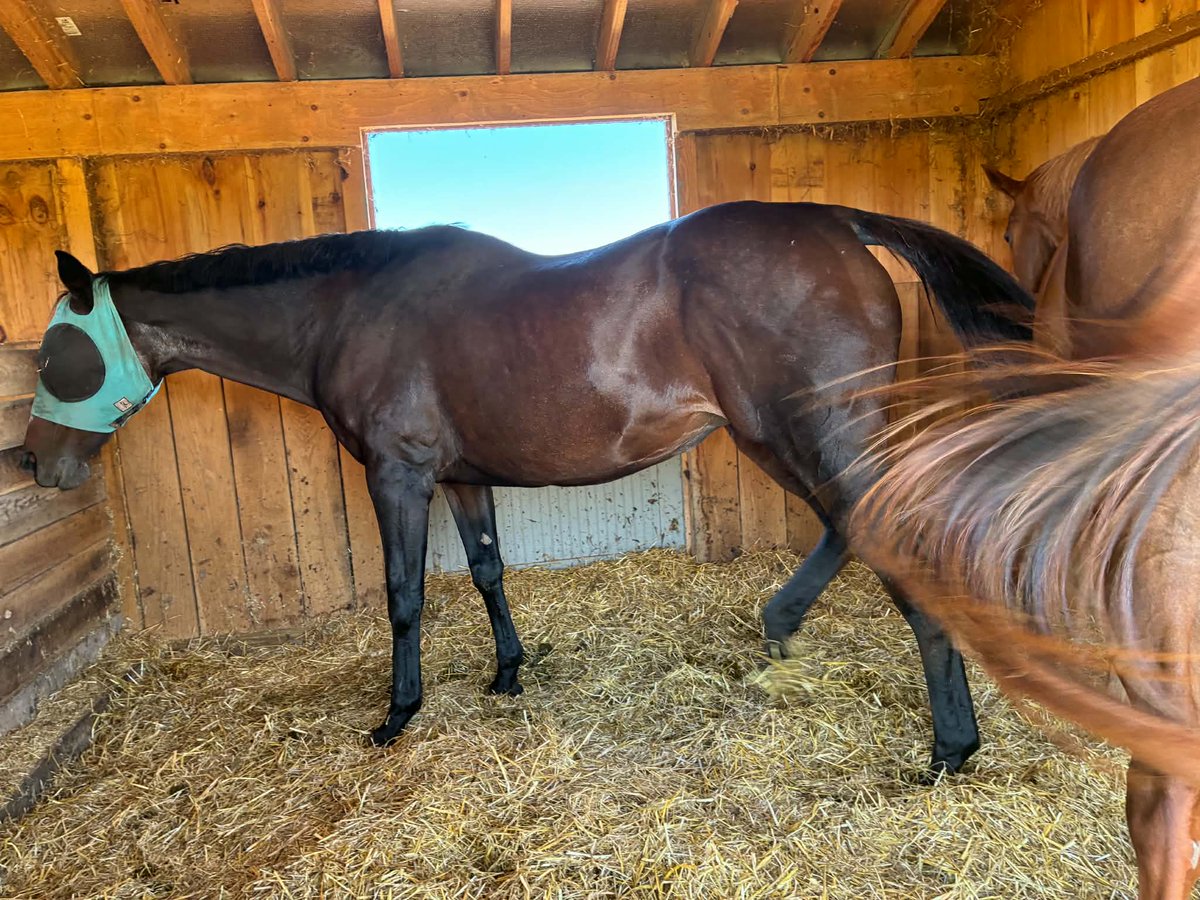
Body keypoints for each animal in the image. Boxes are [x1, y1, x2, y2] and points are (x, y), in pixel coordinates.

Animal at [20, 200, 1031, 768]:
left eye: (57, 349)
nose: (33, 462)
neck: (348, 311)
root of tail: (835, 223)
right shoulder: (464, 477)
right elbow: (486, 570)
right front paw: (507, 673)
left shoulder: (400, 475)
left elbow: (405, 594)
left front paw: (398, 714)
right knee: (852, 528)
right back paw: (784, 625)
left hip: (804, 431)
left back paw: (950, 747)